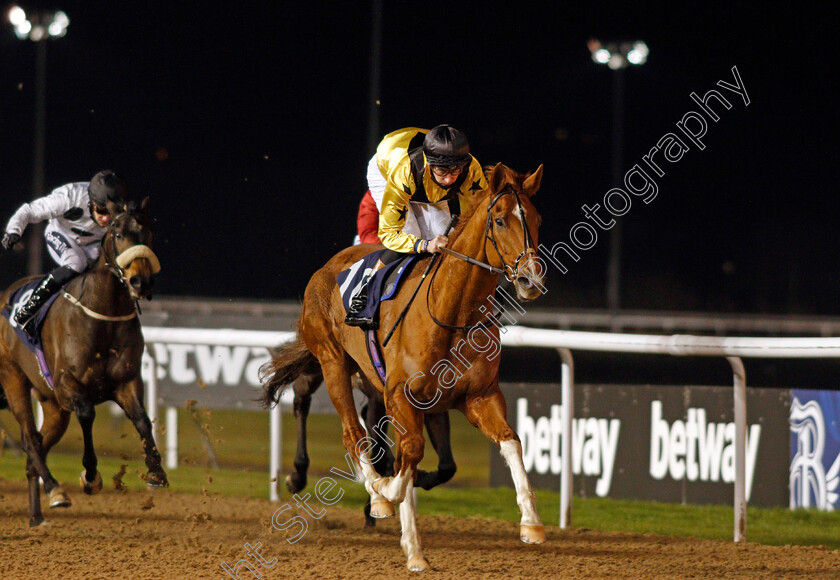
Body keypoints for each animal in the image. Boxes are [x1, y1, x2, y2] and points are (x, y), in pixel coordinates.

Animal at [0, 202, 167, 528]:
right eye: (118, 233)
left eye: (149, 232)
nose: (140, 281)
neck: (103, 315)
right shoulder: (68, 385)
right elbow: (88, 414)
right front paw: (90, 475)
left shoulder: (127, 381)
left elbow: (142, 420)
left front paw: (156, 470)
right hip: (13, 379)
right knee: (30, 438)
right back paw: (55, 489)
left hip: (52, 405)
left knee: (35, 447)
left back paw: (37, 515)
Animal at [266, 163, 548, 572]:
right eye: (498, 220)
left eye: (538, 219)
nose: (531, 279)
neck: (452, 313)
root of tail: (327, 267)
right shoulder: (399, 395)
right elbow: (407, 455)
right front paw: (405, 533)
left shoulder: (479, 396)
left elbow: (510, 441)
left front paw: (531, 523)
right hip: (331, 361)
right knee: (350, 432)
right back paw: (359, 490)